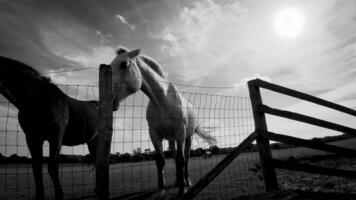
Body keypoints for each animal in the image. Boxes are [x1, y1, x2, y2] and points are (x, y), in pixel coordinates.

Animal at [0, 55, 100, 200]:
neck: (37, 98)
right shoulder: (33, 139)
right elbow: (36, 168)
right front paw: (39, 196)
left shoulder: (55, 138)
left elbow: (52, 167)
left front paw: (60, 195)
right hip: (91, 142)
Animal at [110, 47, 217, 197]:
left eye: (123, 64)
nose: (110, 100)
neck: (162, 100)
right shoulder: (154, 134)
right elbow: (161, 161)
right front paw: (162, 189)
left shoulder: (180, 133)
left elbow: (181, 159)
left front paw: (182, 189)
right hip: (171, 139)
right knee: (174, 156)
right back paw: (178, 181)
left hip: (187, 137)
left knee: (186, 157)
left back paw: (186, 181)